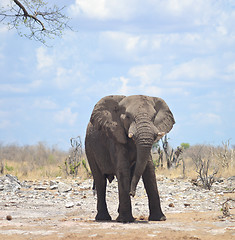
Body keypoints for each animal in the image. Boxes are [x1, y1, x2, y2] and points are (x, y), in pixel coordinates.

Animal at [84, 94, 174, 222]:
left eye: (153, 117)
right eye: (128, 117)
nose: (132, 193)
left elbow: (149, 171)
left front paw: (159, 219)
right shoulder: (115, 136)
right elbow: (123, 170)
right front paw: (125, 220)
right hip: (89, 148)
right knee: (100, 180)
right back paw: (103, 218)